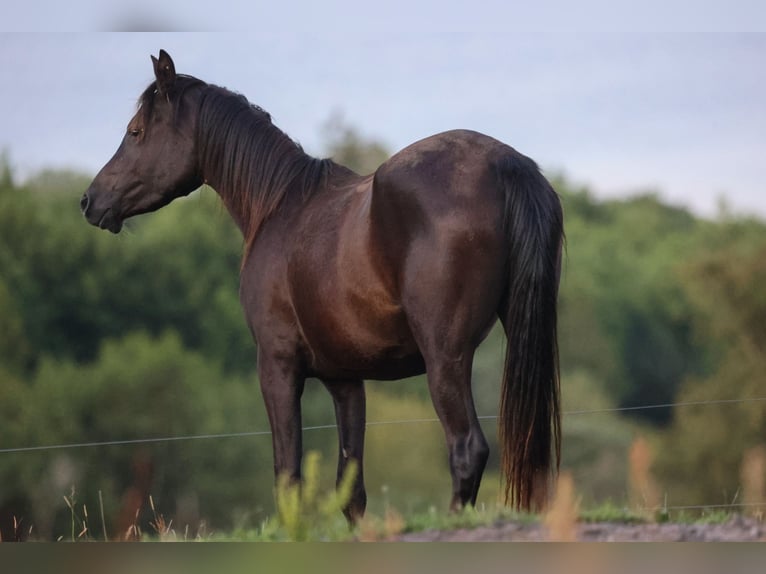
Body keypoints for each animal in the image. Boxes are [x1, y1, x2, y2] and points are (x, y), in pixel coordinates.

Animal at [81, 50, 564, 522]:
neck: (279, 206)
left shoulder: (277, 366)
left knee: (467, 449)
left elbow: (288, 477)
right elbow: (351, 489)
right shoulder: (344, 379)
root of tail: (504, 164)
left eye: (136, 131)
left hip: (446, 358)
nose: (89, 201)